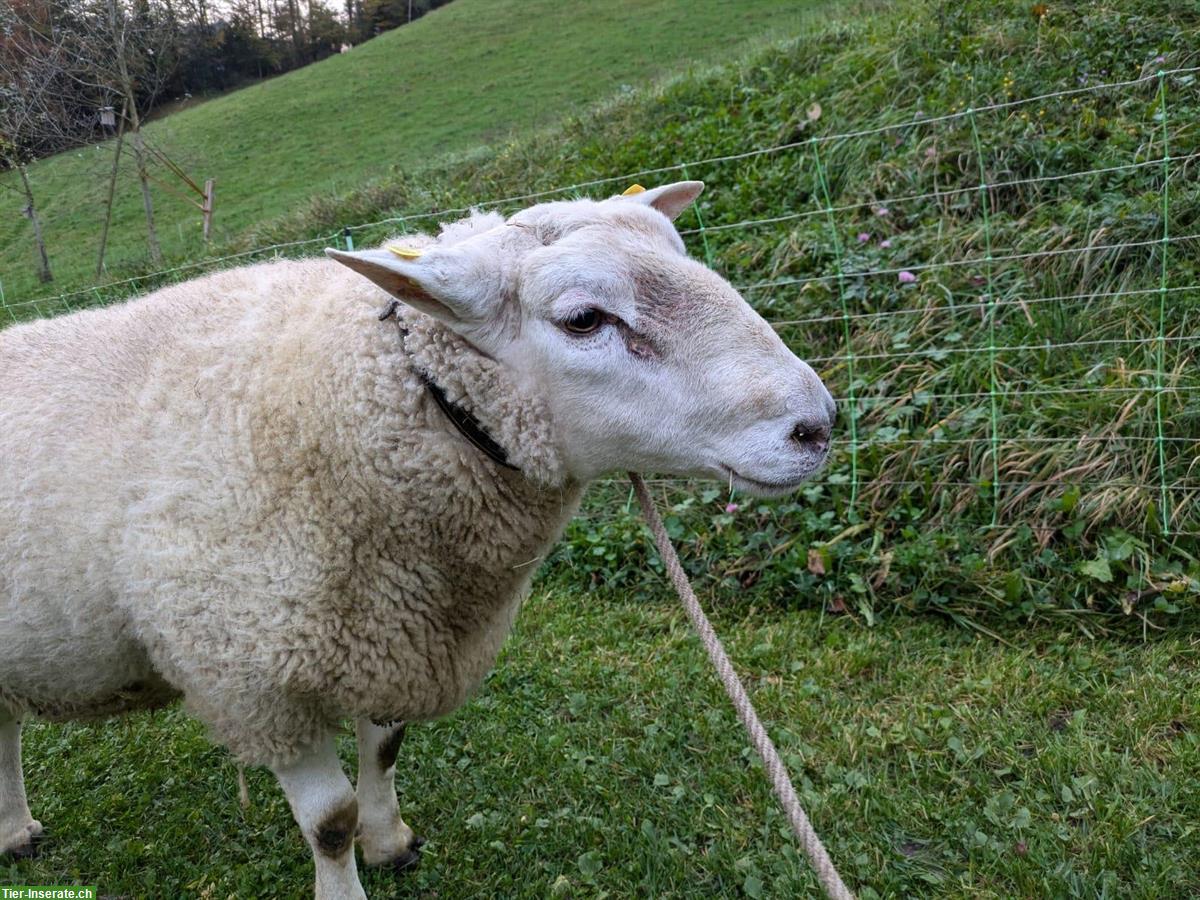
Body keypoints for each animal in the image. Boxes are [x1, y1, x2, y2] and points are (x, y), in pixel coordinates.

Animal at [0, 180, 835, 897]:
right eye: (585, 319)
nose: (817, 425)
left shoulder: (396, 626)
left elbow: (386, 750)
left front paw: (390, 841)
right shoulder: (255, 678)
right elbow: (328, 822)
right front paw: (346, 879)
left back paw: (14, 830)